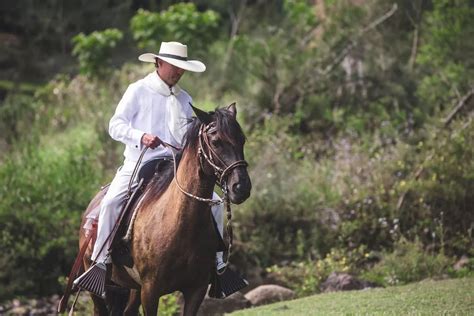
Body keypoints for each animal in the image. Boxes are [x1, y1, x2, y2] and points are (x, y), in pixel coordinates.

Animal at [78, 103, 252, 314]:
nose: (241, 187)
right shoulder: (150, 291)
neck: (180, 225)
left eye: (242, 140)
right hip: (100, 290)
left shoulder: (196, 289)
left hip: (132, 288)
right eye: (216, 141)